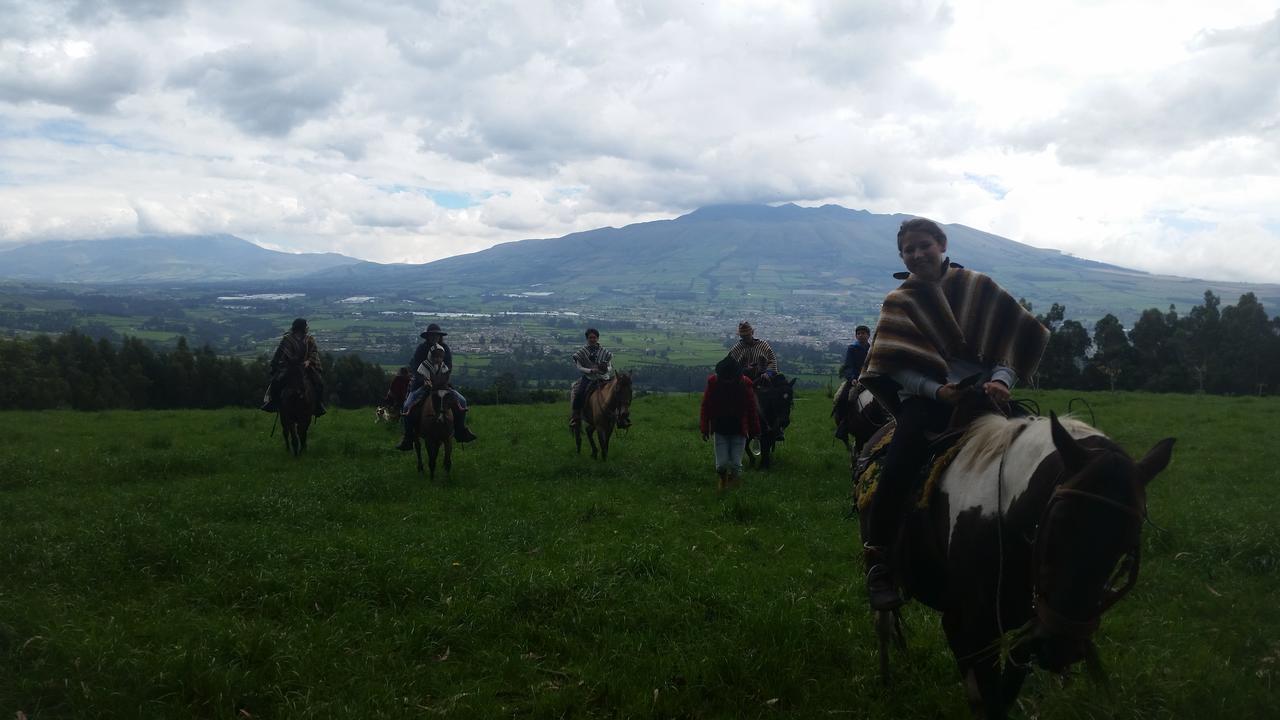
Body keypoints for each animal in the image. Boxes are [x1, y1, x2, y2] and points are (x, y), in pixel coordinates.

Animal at [855, 397, 1172, 717]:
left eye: (1128, 541)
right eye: (1059, 520)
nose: (1062, 647)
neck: (1003, 515)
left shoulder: (1028, 627)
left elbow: (1002, 695)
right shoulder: (980, 629)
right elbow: (991, 698)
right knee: (883, 622)